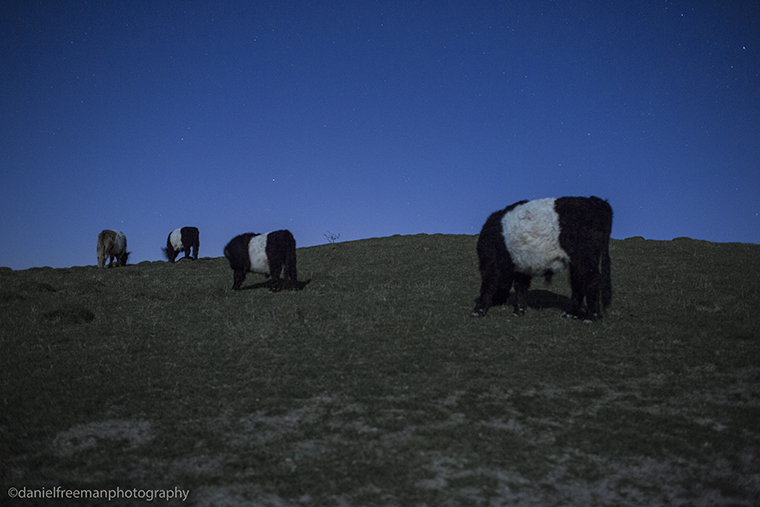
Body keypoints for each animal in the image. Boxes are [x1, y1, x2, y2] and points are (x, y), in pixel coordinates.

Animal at [471, 196, 612, 323]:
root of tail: (594, 201)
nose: (497, 301)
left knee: (591, 282)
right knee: (578, 283)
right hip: (578, 262)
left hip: (584, 259)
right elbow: (520, 286)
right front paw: (519, 311)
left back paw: (590, 317)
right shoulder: (523, 264)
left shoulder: (491, 261)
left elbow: (488, 284)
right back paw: (570, 314)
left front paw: (478, 310)